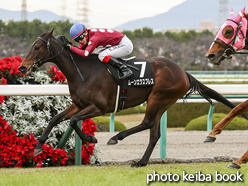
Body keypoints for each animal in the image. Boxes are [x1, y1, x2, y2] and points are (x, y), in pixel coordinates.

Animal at [18, 29, 239, 167]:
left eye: (37, 47)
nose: (22, 67)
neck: (83, 71)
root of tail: (183, 72)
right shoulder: (79, 105)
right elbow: (56, 119)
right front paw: (38, 146)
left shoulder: (99, 107)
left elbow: (72, 121)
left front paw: (92, 138)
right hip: (163, 103)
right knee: (154, 133)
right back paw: (141, 162)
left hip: (158, 97)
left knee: (147, 122)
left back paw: (116, 138)